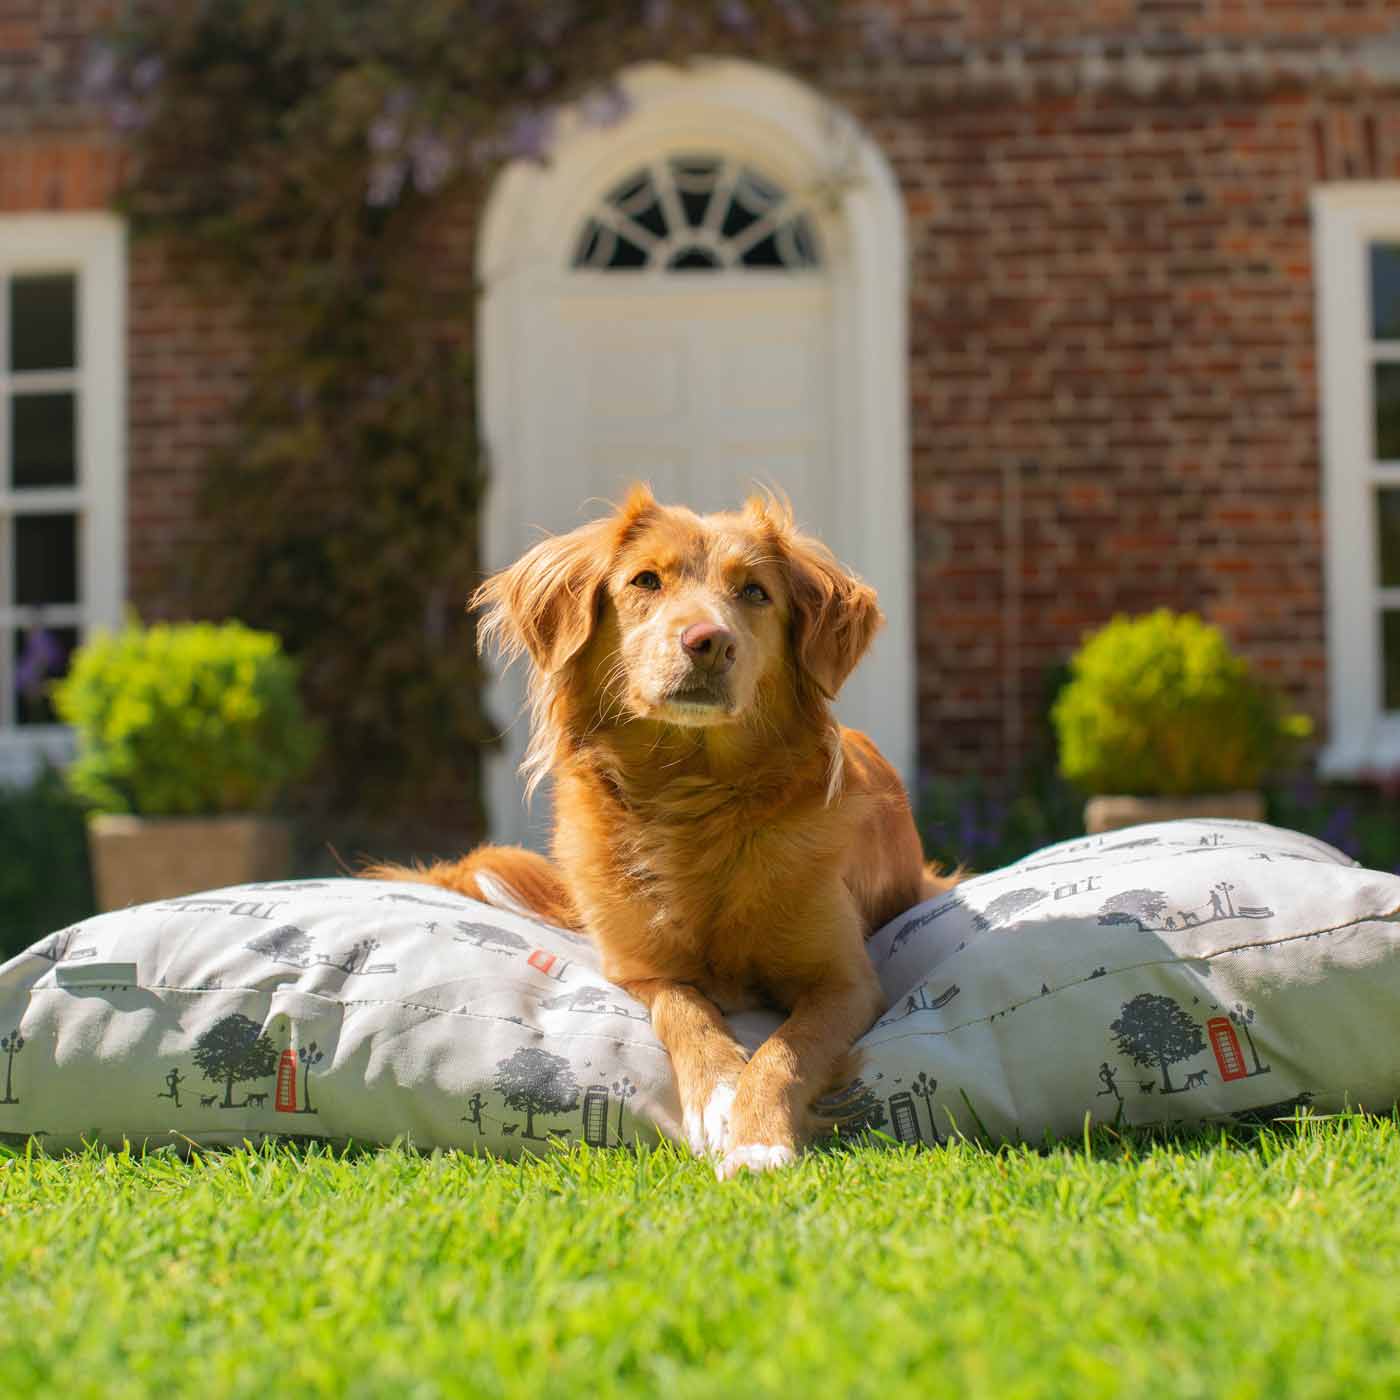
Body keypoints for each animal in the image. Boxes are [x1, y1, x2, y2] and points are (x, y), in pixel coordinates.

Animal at [366, 487, 957, 1176]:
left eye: (754, 591)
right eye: (645, 580)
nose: (709, 641)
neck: (693, 799)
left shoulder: (847, 982)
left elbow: (787, 1048)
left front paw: (757, 1139)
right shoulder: (640, 971)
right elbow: (687, 1010)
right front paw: (719, 1094)